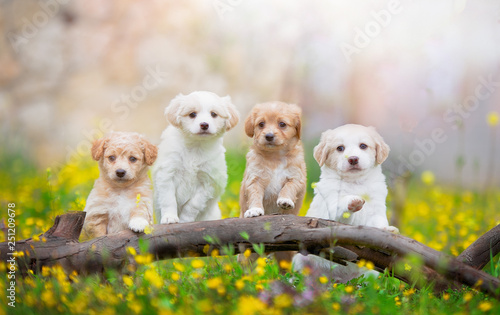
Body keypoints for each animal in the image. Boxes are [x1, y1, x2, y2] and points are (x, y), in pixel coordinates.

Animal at [151, 90, 239, 225]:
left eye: (213, 114)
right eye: (192, 114)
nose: (204, 125)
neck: (196, 146)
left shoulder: (208, 182)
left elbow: (192, 206)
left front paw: (184, 221)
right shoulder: (167, 173)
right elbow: (169, 199)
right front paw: (170, 217)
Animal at [292, 124, 398, 282]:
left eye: (363, 146)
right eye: (340, 148)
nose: (353, 159)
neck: (355, 182)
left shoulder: (376, 210)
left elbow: (378, 224)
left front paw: (387, 230)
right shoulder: (331, 209)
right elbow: (340, 205)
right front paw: (353, 200)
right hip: (300, 261)